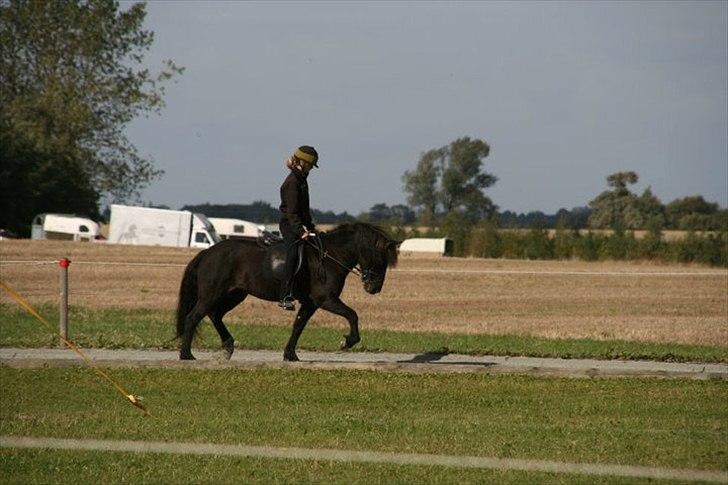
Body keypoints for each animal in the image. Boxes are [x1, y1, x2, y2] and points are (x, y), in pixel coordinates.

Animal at [177, 221, 400, 362]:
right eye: (381, 259)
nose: (374, 288)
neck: (329, 256)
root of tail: (208, 252)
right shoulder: (325, 299)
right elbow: (352, 315)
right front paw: (347, 342)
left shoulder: (310, 303)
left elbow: (298, 326)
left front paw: (290, 355)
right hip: (213, 294)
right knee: (194, 316)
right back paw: (186, 355)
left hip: (234, 295)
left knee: (215, 315)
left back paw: (227, 348)